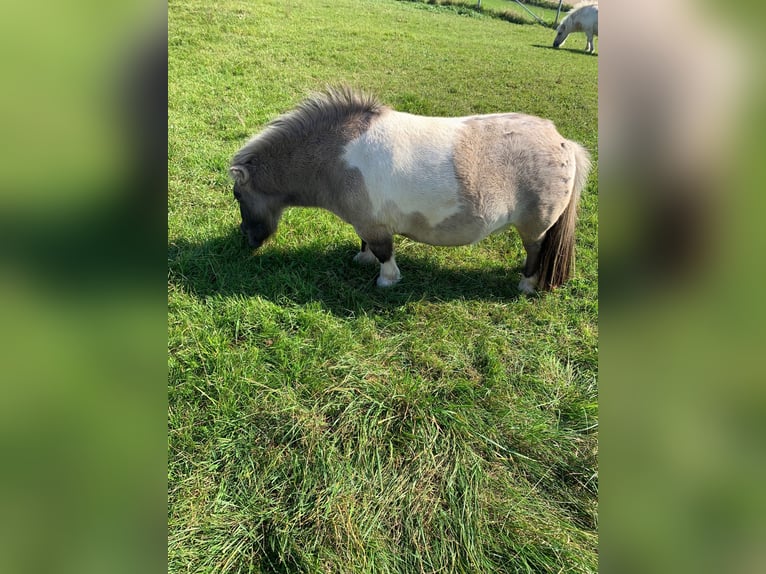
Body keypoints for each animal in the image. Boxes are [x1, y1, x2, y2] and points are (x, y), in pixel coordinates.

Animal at [228, 88, 592, 294]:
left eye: (237, 196)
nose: (247, 239)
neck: (336, 153)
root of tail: (563, 142)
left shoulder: (375, 226)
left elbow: (384, 253)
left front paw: (386, 281)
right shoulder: (366, 221)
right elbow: (366, 245)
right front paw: (362, 259)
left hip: (536, 226)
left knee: (535, 251)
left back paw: (526, 285)